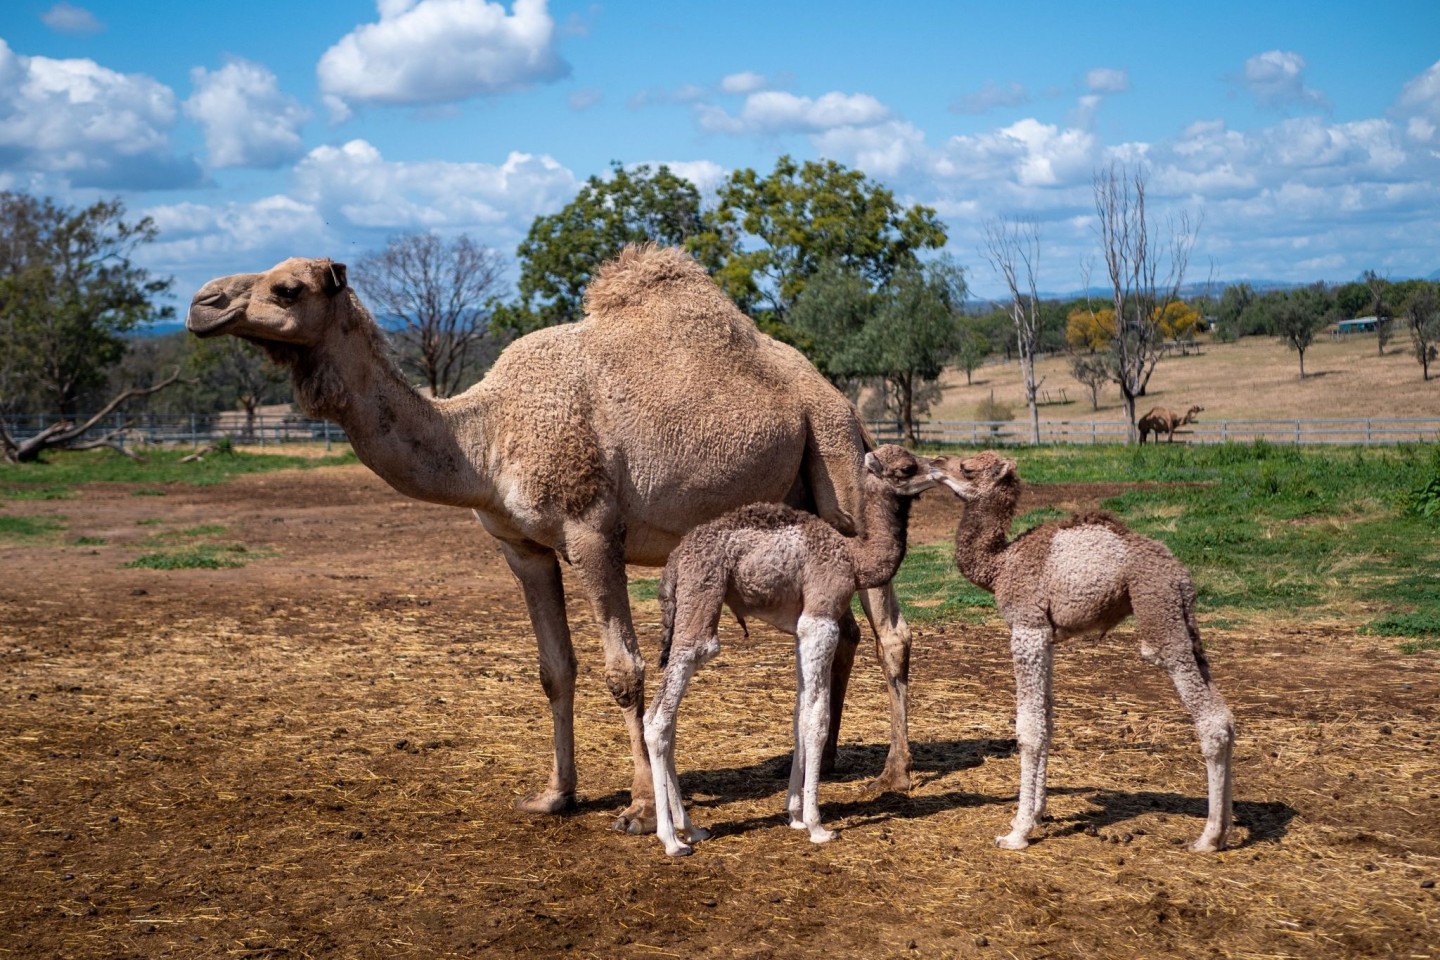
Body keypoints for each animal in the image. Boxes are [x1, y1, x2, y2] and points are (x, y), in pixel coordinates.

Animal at [933, 451, 1238, 857]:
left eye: (967, 468)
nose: (935, 462)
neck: (1000, 564)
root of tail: (1181, 576)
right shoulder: (1046, 638)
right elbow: (1047, 721)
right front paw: (1034, 815)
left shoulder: (1027, 627)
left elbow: (1029, 729)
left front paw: (1017, 833)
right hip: (1184, 619)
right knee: (1223, 712)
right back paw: (1222, 830)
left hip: (1158, 611)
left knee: (1208, 716)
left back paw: (1208, 838)